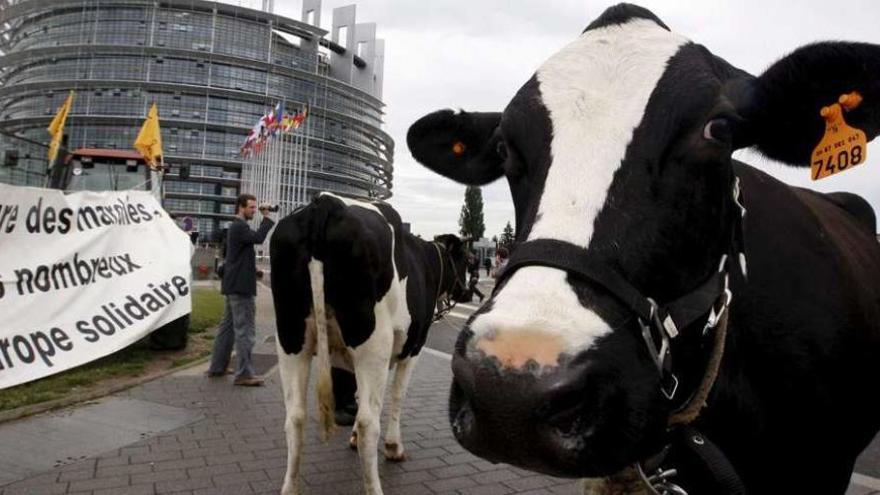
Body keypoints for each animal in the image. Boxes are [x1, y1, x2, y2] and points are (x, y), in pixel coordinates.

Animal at [272, 192, 470, 494]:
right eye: (467, 260)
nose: (468, 292)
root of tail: (326, 202)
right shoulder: (413, 348)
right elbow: (397, 395)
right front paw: (393, 446)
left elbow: (356, 394)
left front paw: (351, 436)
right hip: (372, 343)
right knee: (368, 422)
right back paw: (374, 485)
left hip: (291, 338)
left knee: (295, 417)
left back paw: (290, 487)